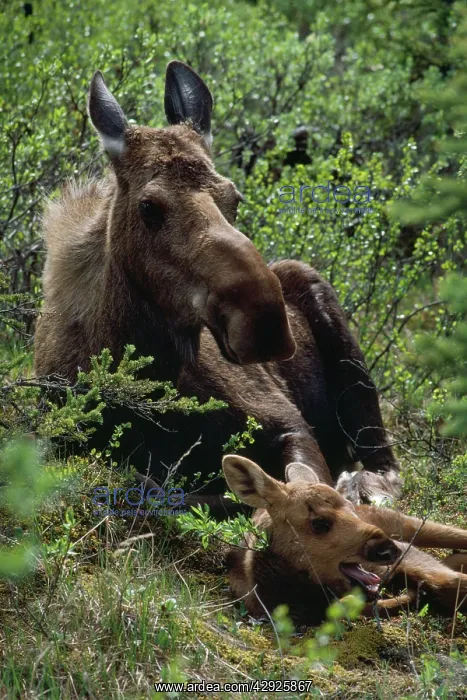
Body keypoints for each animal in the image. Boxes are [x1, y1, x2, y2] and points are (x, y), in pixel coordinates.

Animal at [34, 61, 401, 506]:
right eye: (149, 207)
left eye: (234, 197)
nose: (265, 324)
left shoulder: (286, 420)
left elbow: (302, 481)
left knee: (385, 461)